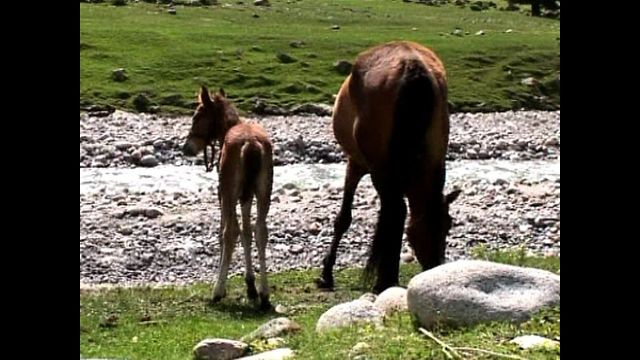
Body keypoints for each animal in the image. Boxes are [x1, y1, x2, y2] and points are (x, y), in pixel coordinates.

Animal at [185, 86, 276, 308]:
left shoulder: (225, 193)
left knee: (230, 232)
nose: (186, 148)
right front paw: (251, 286)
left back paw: (217, 291)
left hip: (229, 190)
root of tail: (251, 144)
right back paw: (264, 293)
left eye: (197, 116)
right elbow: (247, 232)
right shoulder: (246, 196)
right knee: (261, 230)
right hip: (264, 189)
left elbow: (226, 231)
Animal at [316, 40, 460, 294]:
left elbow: (344, 218)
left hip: (379, 168)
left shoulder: (356, 163)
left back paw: (384, 279)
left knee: (396, 211)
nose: (434, 267)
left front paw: (326, 273)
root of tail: (412, 68)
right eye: (449, 224)